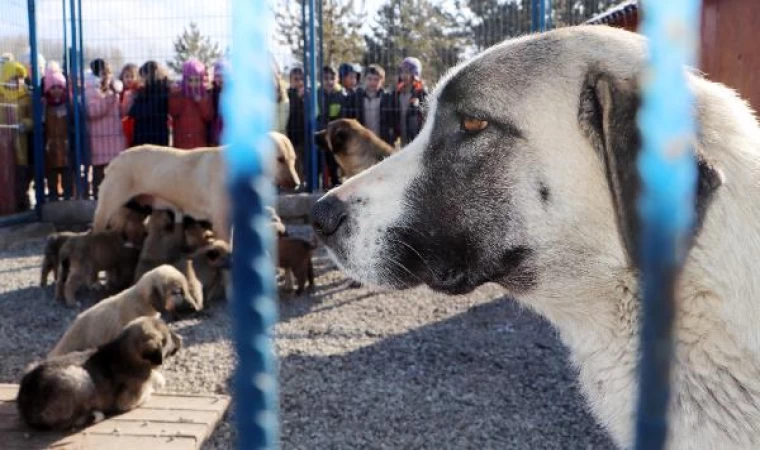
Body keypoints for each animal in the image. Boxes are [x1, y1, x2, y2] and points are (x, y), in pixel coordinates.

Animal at [17, 314, 181, 430]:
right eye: (169, 338)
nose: (181, 338)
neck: (124, 352)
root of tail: (26, 409)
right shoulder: (128, 400)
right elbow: (148, 390)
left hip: (33, 364)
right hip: (79, 378)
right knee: (65, 422)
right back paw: (93, 415)